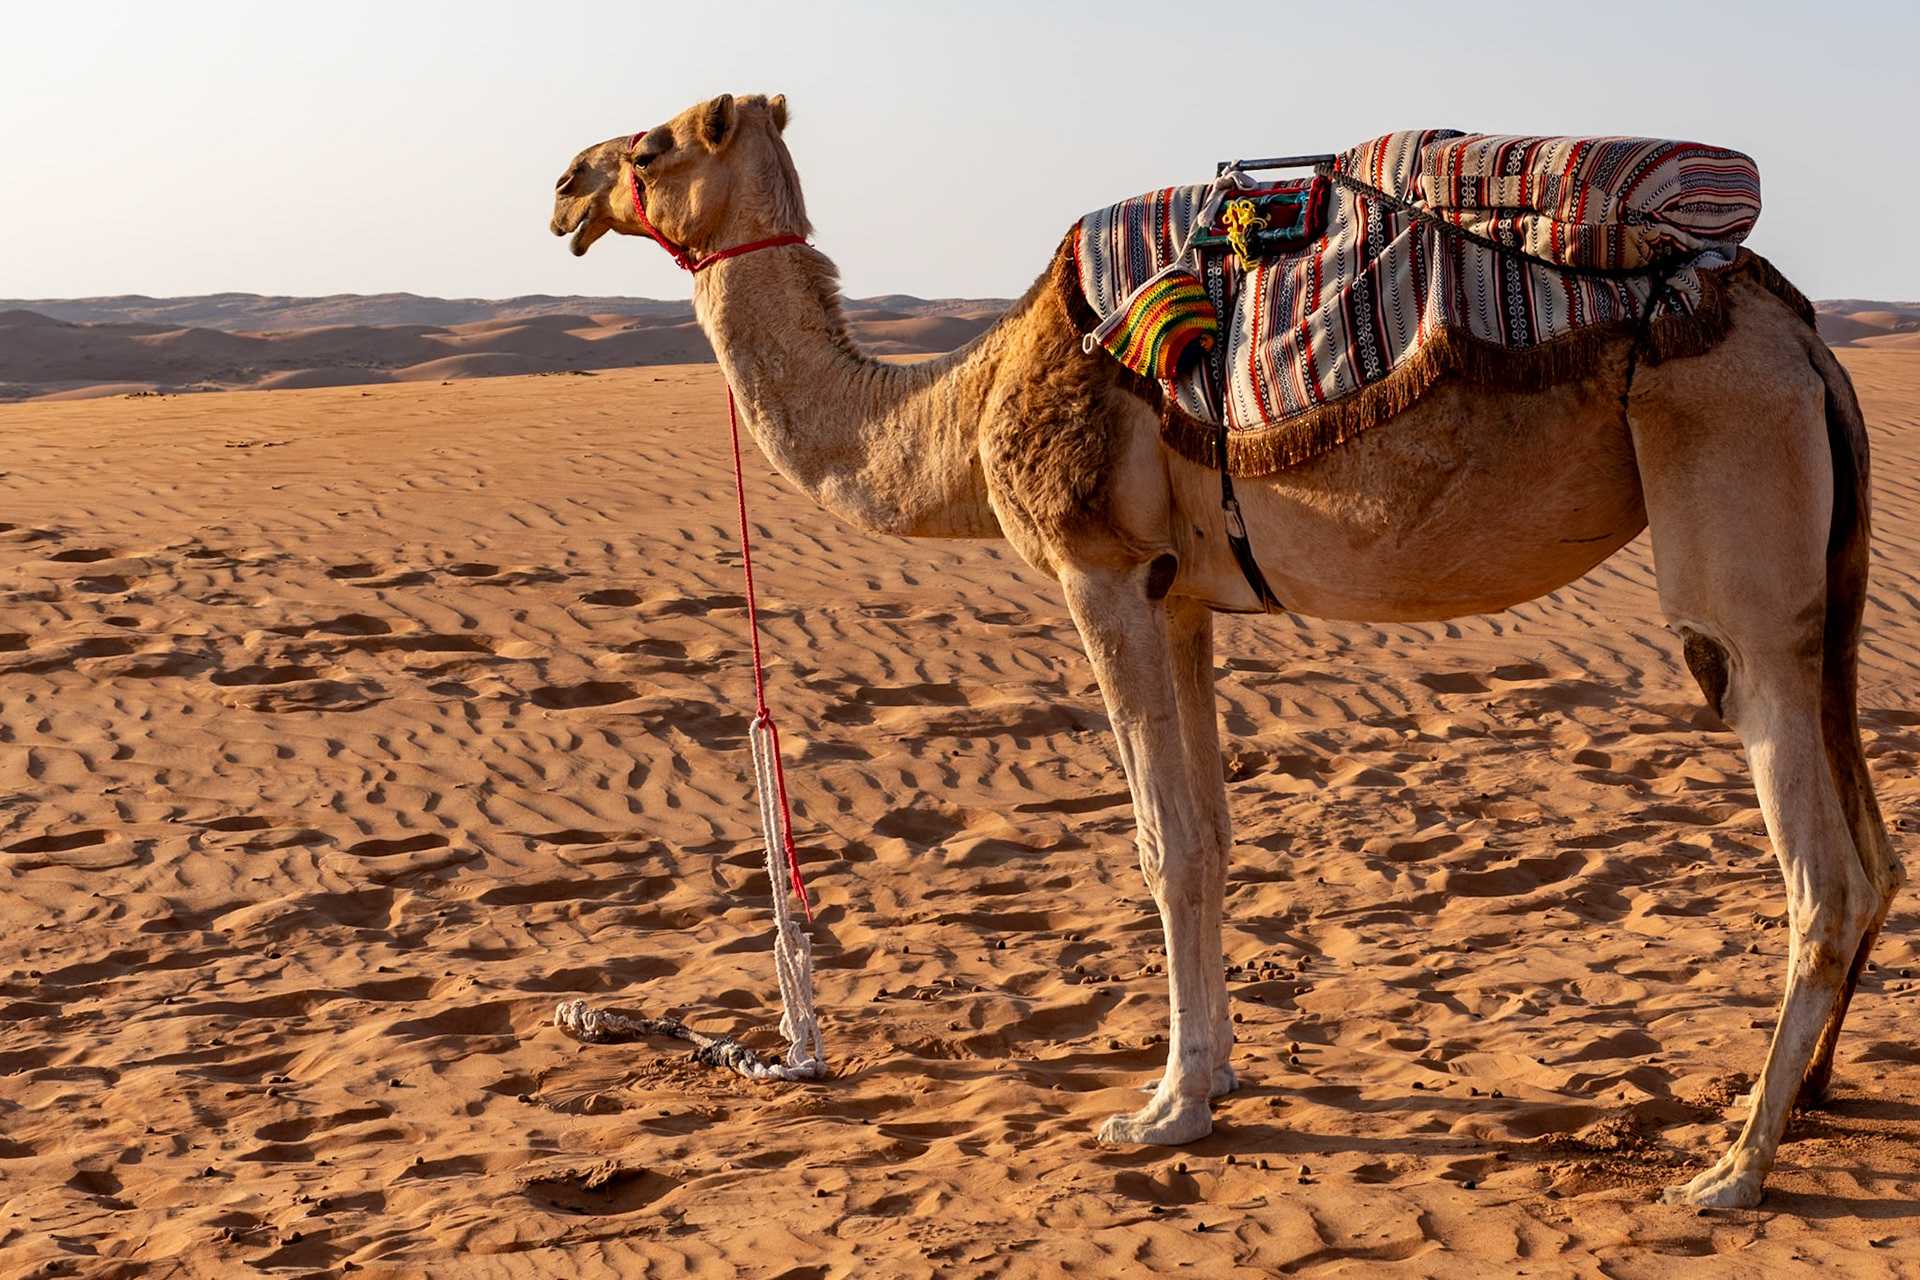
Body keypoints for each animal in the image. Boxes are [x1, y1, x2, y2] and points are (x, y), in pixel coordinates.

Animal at [550, 93, 1899, 1210]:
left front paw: (1164, 1109)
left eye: (652, 146)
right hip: (1824, 579)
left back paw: (1735, 1166)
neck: (964, 406)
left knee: (1818, 861)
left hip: (1732, 492)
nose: (564, 184)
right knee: (1875, 846)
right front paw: (1212, 1075)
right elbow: (1213, 828)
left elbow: (1167, 844)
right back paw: (1808, 1099)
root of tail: (1803, 334)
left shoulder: (1103, 573)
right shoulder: (1183, 596)